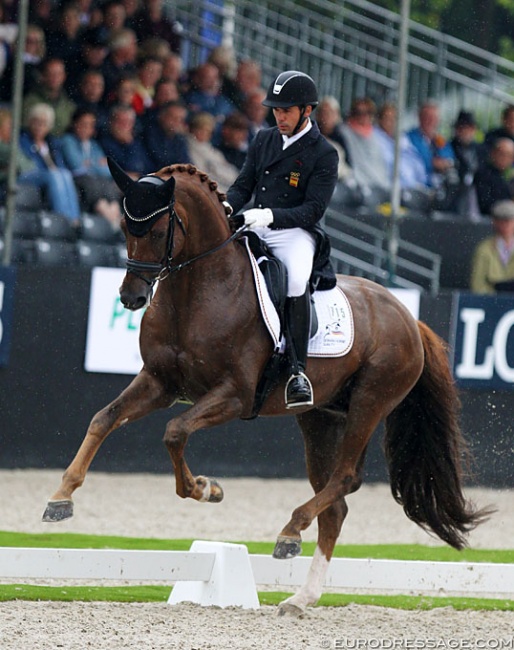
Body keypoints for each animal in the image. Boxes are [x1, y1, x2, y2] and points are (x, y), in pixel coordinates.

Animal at [43, 161, 484, 612]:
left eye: (156, 229)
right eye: (124, 227)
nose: (131, 298)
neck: (196, 291)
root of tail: (409, 317)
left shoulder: (234, 396)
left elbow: (175, 431)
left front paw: (206, 488)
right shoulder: (159, 383)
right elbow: (105, 418)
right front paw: (61, 498)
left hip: (370, 401)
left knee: (344, 478)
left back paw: (290, 532)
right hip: (320, 418)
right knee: (336, 506)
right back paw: (301, 597)